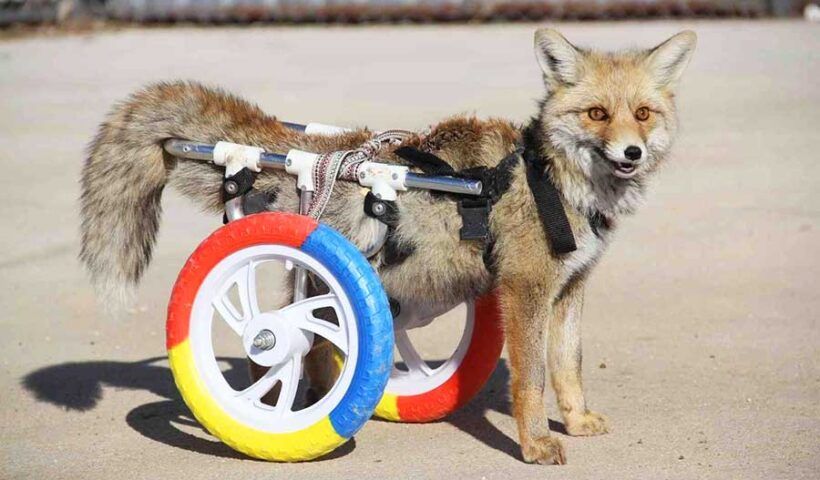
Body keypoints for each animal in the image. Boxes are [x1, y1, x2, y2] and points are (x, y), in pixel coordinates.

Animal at [80, 28, 696, 464]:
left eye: (642, 114)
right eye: (597, 114)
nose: (633, 153)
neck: (550, 181)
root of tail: (317, 151)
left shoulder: (568, 291)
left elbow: (568, 367)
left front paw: (578, 420)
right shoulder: (526, 291)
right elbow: (532, 381)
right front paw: (535, 444)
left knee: (321, 351)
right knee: (276, 342)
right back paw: (273, 419)